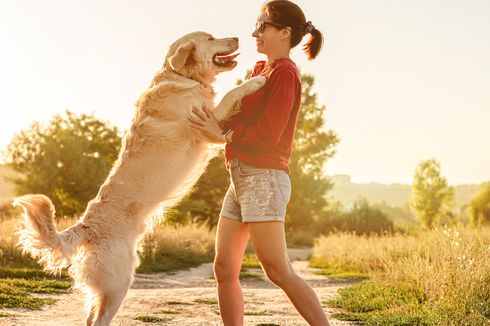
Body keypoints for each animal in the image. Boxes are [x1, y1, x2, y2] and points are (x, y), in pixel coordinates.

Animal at [11, 31, 266, 326]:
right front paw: (255, 81)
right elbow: (231, 94)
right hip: (119, 282)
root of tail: (85, 227)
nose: (236, 36)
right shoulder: (205, 123)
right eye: (212, 38)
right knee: (99, 320)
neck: (183, 77)